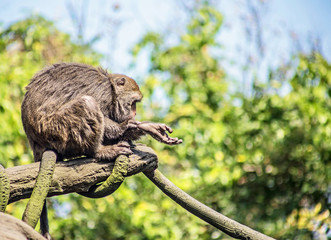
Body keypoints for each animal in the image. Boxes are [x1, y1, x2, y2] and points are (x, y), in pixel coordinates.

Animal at [22, 62, 183, 238]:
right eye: (133, 102)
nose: (134, 113)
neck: (111, 88)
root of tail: (35, 143)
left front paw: (142, 127)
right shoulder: (102, 91)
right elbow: (101, 113)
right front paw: (131, 126)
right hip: (56, 130)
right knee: (87, 103)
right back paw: (98, 151)